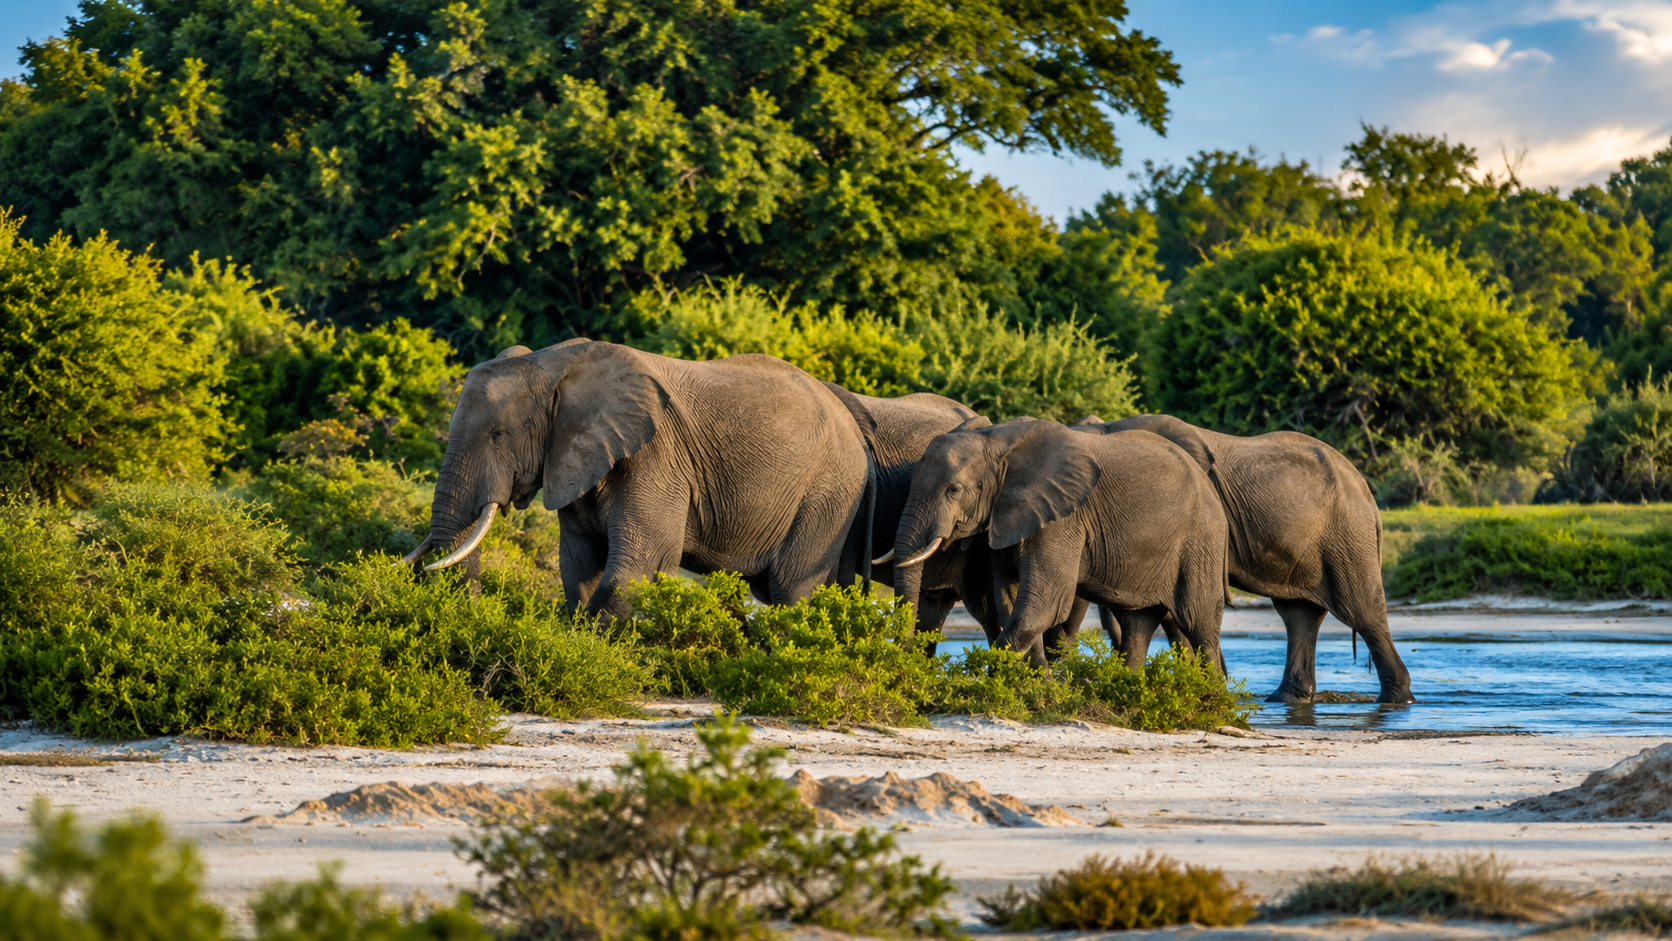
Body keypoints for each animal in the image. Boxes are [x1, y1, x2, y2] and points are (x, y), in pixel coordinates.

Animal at [400, 339, 870, 618]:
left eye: (499, 435)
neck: (552, 364)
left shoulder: (657, 458)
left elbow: (638, 562)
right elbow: (578, 563)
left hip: (829, 492)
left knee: (791, 587)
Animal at [890, 418, 1229, 669]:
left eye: (954, 490)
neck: (995, 440)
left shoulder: (1062, 520)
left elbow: (1044, 605)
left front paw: (988, 681)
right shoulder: (1007, 516)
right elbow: (1010, 600)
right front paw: (1040, 684)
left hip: (1201, 539)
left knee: (1199, 623)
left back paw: (1212, 701)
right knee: (1138, 623)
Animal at [1072, 414, 1414, 704]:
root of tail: (1365, 491)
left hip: (1347, 534)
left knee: (1362, 611)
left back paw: (1396, 700)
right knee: (1299, 614)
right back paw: (1285, 699)